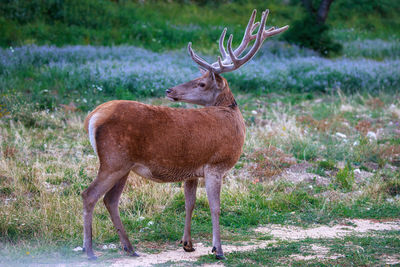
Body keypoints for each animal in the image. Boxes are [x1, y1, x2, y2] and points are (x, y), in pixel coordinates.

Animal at [82, 9, 288, 260]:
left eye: (201, 83)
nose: (169, 90)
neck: (233, 119)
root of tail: (93, 116)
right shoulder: (215, 163)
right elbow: (215, 206)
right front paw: (218, 249)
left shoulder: (192, 170)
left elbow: (190, 202)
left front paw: (187, 243)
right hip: (114, 159)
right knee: (89, 195)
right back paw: (90, 250)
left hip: (123, 165)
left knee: (110, 200)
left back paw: (129, 248)